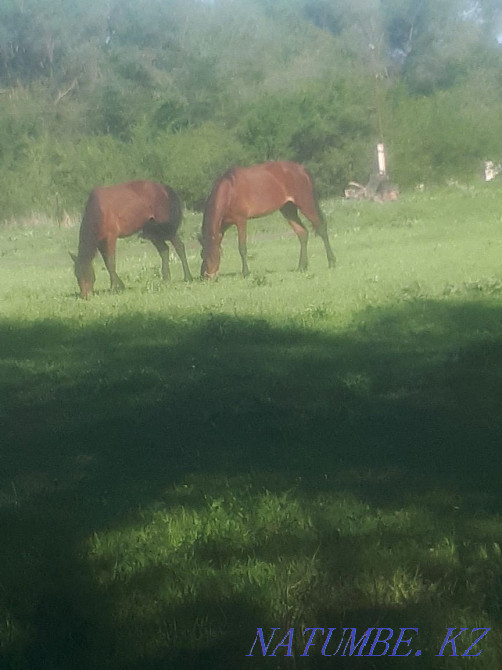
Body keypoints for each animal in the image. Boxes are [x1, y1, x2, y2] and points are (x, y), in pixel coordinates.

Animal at [199, 161, 335, 279]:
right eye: (202, 255)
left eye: (210, 255)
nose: (206, 277)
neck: (229, 190)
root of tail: (302, 169)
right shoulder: (223, 225)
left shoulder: (241, 221)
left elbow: (242, 247)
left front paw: (246, 273)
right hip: (288, 209)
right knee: (302, 233)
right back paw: (302, 266)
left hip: (305, 204)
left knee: (321, 228)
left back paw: (331, 262)